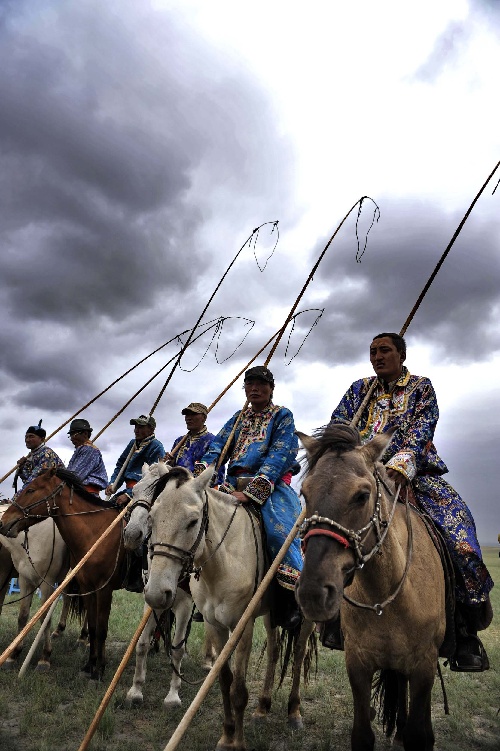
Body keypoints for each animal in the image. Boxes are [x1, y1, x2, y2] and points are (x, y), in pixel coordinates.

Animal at [0, 508, 70, 672]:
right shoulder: (24, 580)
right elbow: (23, 616)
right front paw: (13, 654)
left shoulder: (47, 583)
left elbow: (44, 617)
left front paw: (45, 658)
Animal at [133, 464, 312, 751]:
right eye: (152, 517)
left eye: (193, 521)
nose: (157, 593)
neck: (222, 563)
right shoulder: (214, 624)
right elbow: (224, 680)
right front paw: (227, 735)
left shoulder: (242, 626)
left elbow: (238, 689)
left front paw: (237, 742)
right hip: (270, 616)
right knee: (274, 652)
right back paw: (262, 708)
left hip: (306, 619)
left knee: (297, 655)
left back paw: (294, 713)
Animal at [294, 426, 448, 751]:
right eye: (304, 493)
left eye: (362, 495)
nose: (313, 594)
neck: (387, 598)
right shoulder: (358, 663)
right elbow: (362, 735)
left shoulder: (424, 666)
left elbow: (420, 735)